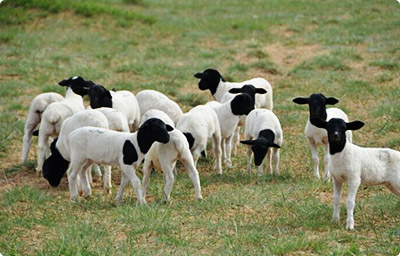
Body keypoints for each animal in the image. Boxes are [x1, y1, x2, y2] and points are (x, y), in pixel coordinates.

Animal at [45, 118, 173, 204]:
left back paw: (88, 193)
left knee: (82, 172)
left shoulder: (128, 166)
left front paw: (118, 199)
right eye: (155, 128)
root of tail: (71, 135)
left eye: (165, 127)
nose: (168, 138)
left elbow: (124, 182)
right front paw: (142, 202)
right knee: (71, 174)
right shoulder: (126, 164)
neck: (136, 143)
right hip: (77, 156)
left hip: (88, 158)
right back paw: (75, 197)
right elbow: (136, 182)